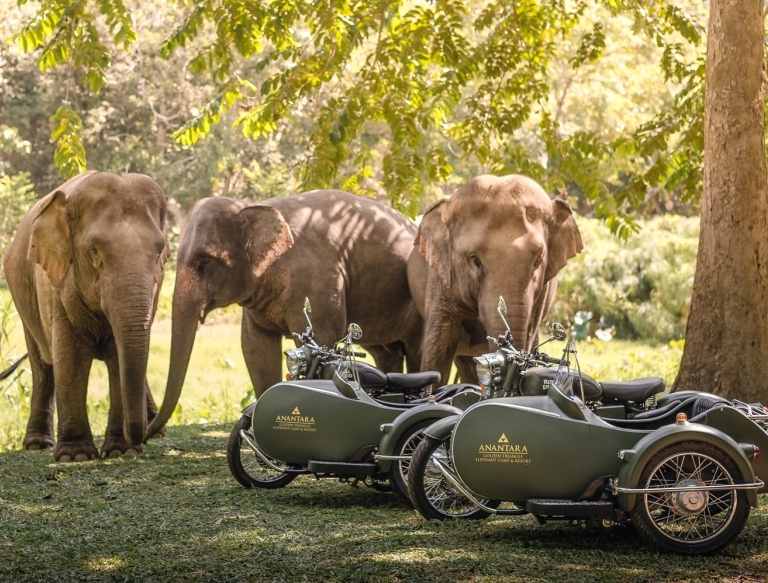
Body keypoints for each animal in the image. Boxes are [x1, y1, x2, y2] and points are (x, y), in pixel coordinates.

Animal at [3, 171, 169, 461]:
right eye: (94, 251)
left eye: (159, 251)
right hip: (24, 300)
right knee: (42, 367)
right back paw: (36, 444)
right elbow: (69, 357)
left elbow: (118, 356)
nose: (138, 438)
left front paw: (118, 451)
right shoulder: (53, 284)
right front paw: (76, 456)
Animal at [145, 190, 424, 439]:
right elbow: (255, 349)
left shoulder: (318, 282)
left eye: (205, 262)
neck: (253, 206)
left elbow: (319, 339)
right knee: (386, 353)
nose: (148, 434)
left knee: (416, 349)